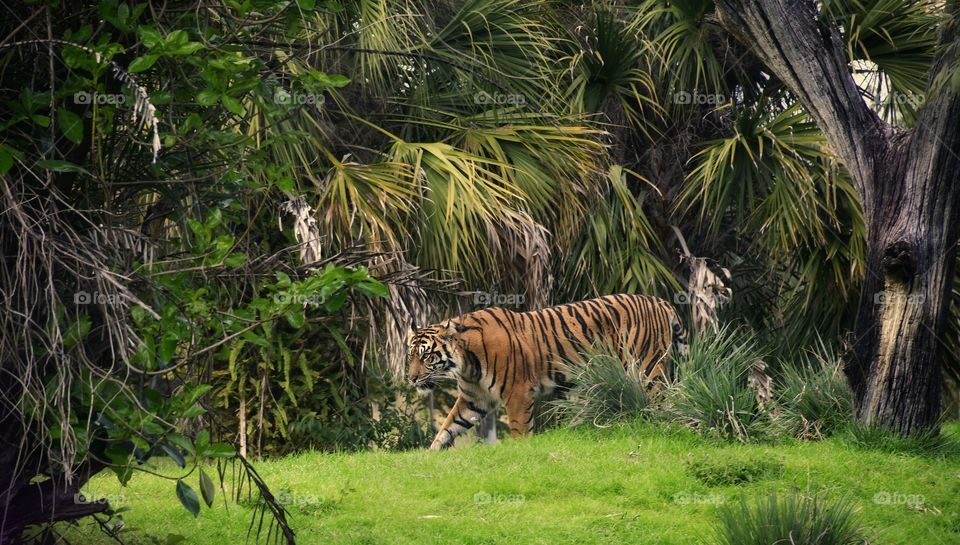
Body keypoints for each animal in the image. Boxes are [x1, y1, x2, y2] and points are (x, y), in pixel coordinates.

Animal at [406, 294, 687, 450]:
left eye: (427, 356)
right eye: (410, 356)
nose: (411, 378)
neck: (466, 364)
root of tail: (660, 300)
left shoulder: (518, 393)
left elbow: (520, 429)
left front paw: (522, 452)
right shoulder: (474, 399)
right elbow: (448, 426)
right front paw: (430, 454)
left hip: (647, 369)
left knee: (665, 403)